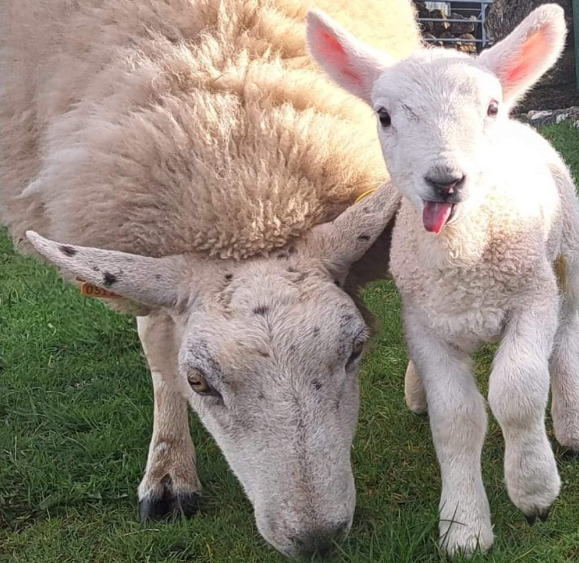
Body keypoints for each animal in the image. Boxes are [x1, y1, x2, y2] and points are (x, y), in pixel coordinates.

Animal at [310, 3, 579, 560]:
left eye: (490, 108)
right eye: (384, 115)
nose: (446, 181)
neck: (466, 260)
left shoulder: (532, 298)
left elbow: (517, 392)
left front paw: (534, 491)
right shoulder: (425, 323)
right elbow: (455, 419)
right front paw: (464, 527)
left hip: (566, 257)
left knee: (567, 332)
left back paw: (569, 422)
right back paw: (417, 392)